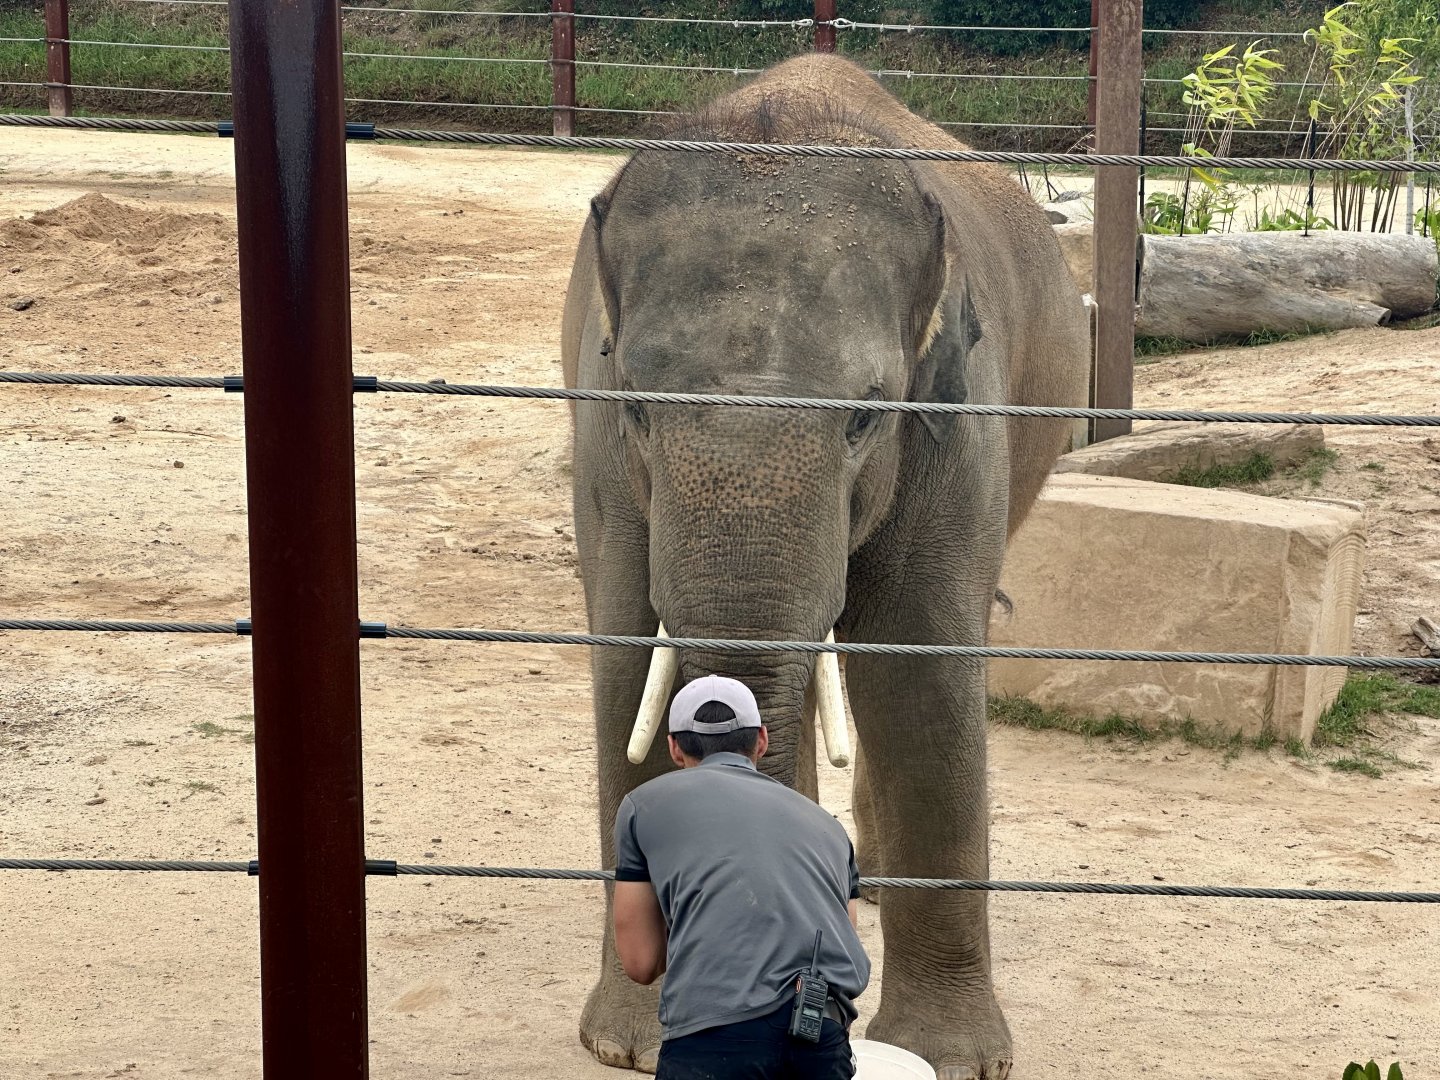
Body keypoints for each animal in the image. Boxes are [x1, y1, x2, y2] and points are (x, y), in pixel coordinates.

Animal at [560, 53, 1089, 1079]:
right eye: (639, 407)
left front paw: (948, 1058)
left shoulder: (954, 415)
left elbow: (920, 669)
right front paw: (635, 1044)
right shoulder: (598, 433)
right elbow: (627, 660)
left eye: (864, 416)